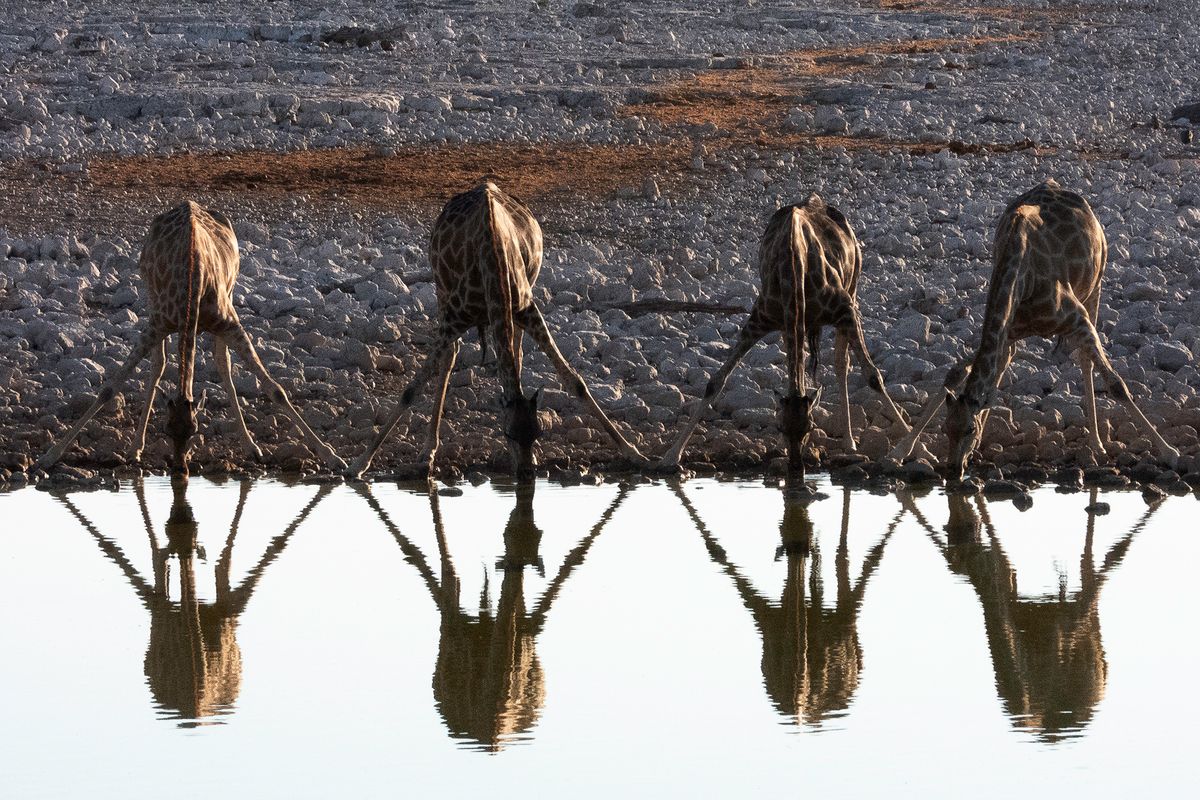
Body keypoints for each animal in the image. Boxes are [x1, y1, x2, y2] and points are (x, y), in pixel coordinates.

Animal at [36, 201, 348, 474]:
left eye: (195, 430)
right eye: (166, 428)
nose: (179, 468)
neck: (192, 285)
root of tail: (189, 203)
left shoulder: (228, 322)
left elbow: (275, 389)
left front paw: (332, 457)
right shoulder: (158, 323)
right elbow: (109, 388)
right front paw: (50, 455)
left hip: (230, 294)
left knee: (223, 365)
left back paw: (251, 446)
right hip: (151, 300)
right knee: (159, 365)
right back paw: (135, 447)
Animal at [348, 183, 648, 474]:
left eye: (537, 433)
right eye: (509, 434)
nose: (526, 473)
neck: (491, 261)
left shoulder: (527, 308)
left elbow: (575, 381)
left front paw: (634, 452)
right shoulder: (453, 319)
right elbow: (411, 389)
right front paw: (359, 464)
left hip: (522, 294)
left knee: (515, 352)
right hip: (442, 294)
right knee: (451, 357)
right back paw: (427, 451)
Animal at [657, 194, 907, 479]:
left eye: (809, 427)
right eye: (780, 427)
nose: (796, 468)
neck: (794, 269)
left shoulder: (845, 310)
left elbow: (874, 377)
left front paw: (914, 448)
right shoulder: (759, 320)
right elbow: (715, 382)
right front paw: (670, 455)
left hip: (853, 287)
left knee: (841, 363)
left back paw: (849, 441)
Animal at [892, 181, 1180, 479]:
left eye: (969, 429)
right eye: (945, 428)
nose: (953, 470)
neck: (1022, 278)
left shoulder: (1078, 319)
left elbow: (1116, 385)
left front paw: (1169, 452)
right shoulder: (1008, 329)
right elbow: (958, 372)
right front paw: (901, 449)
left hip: (1096, 287)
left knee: (1085, 360)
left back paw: (1097, 444)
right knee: (1008, 364)